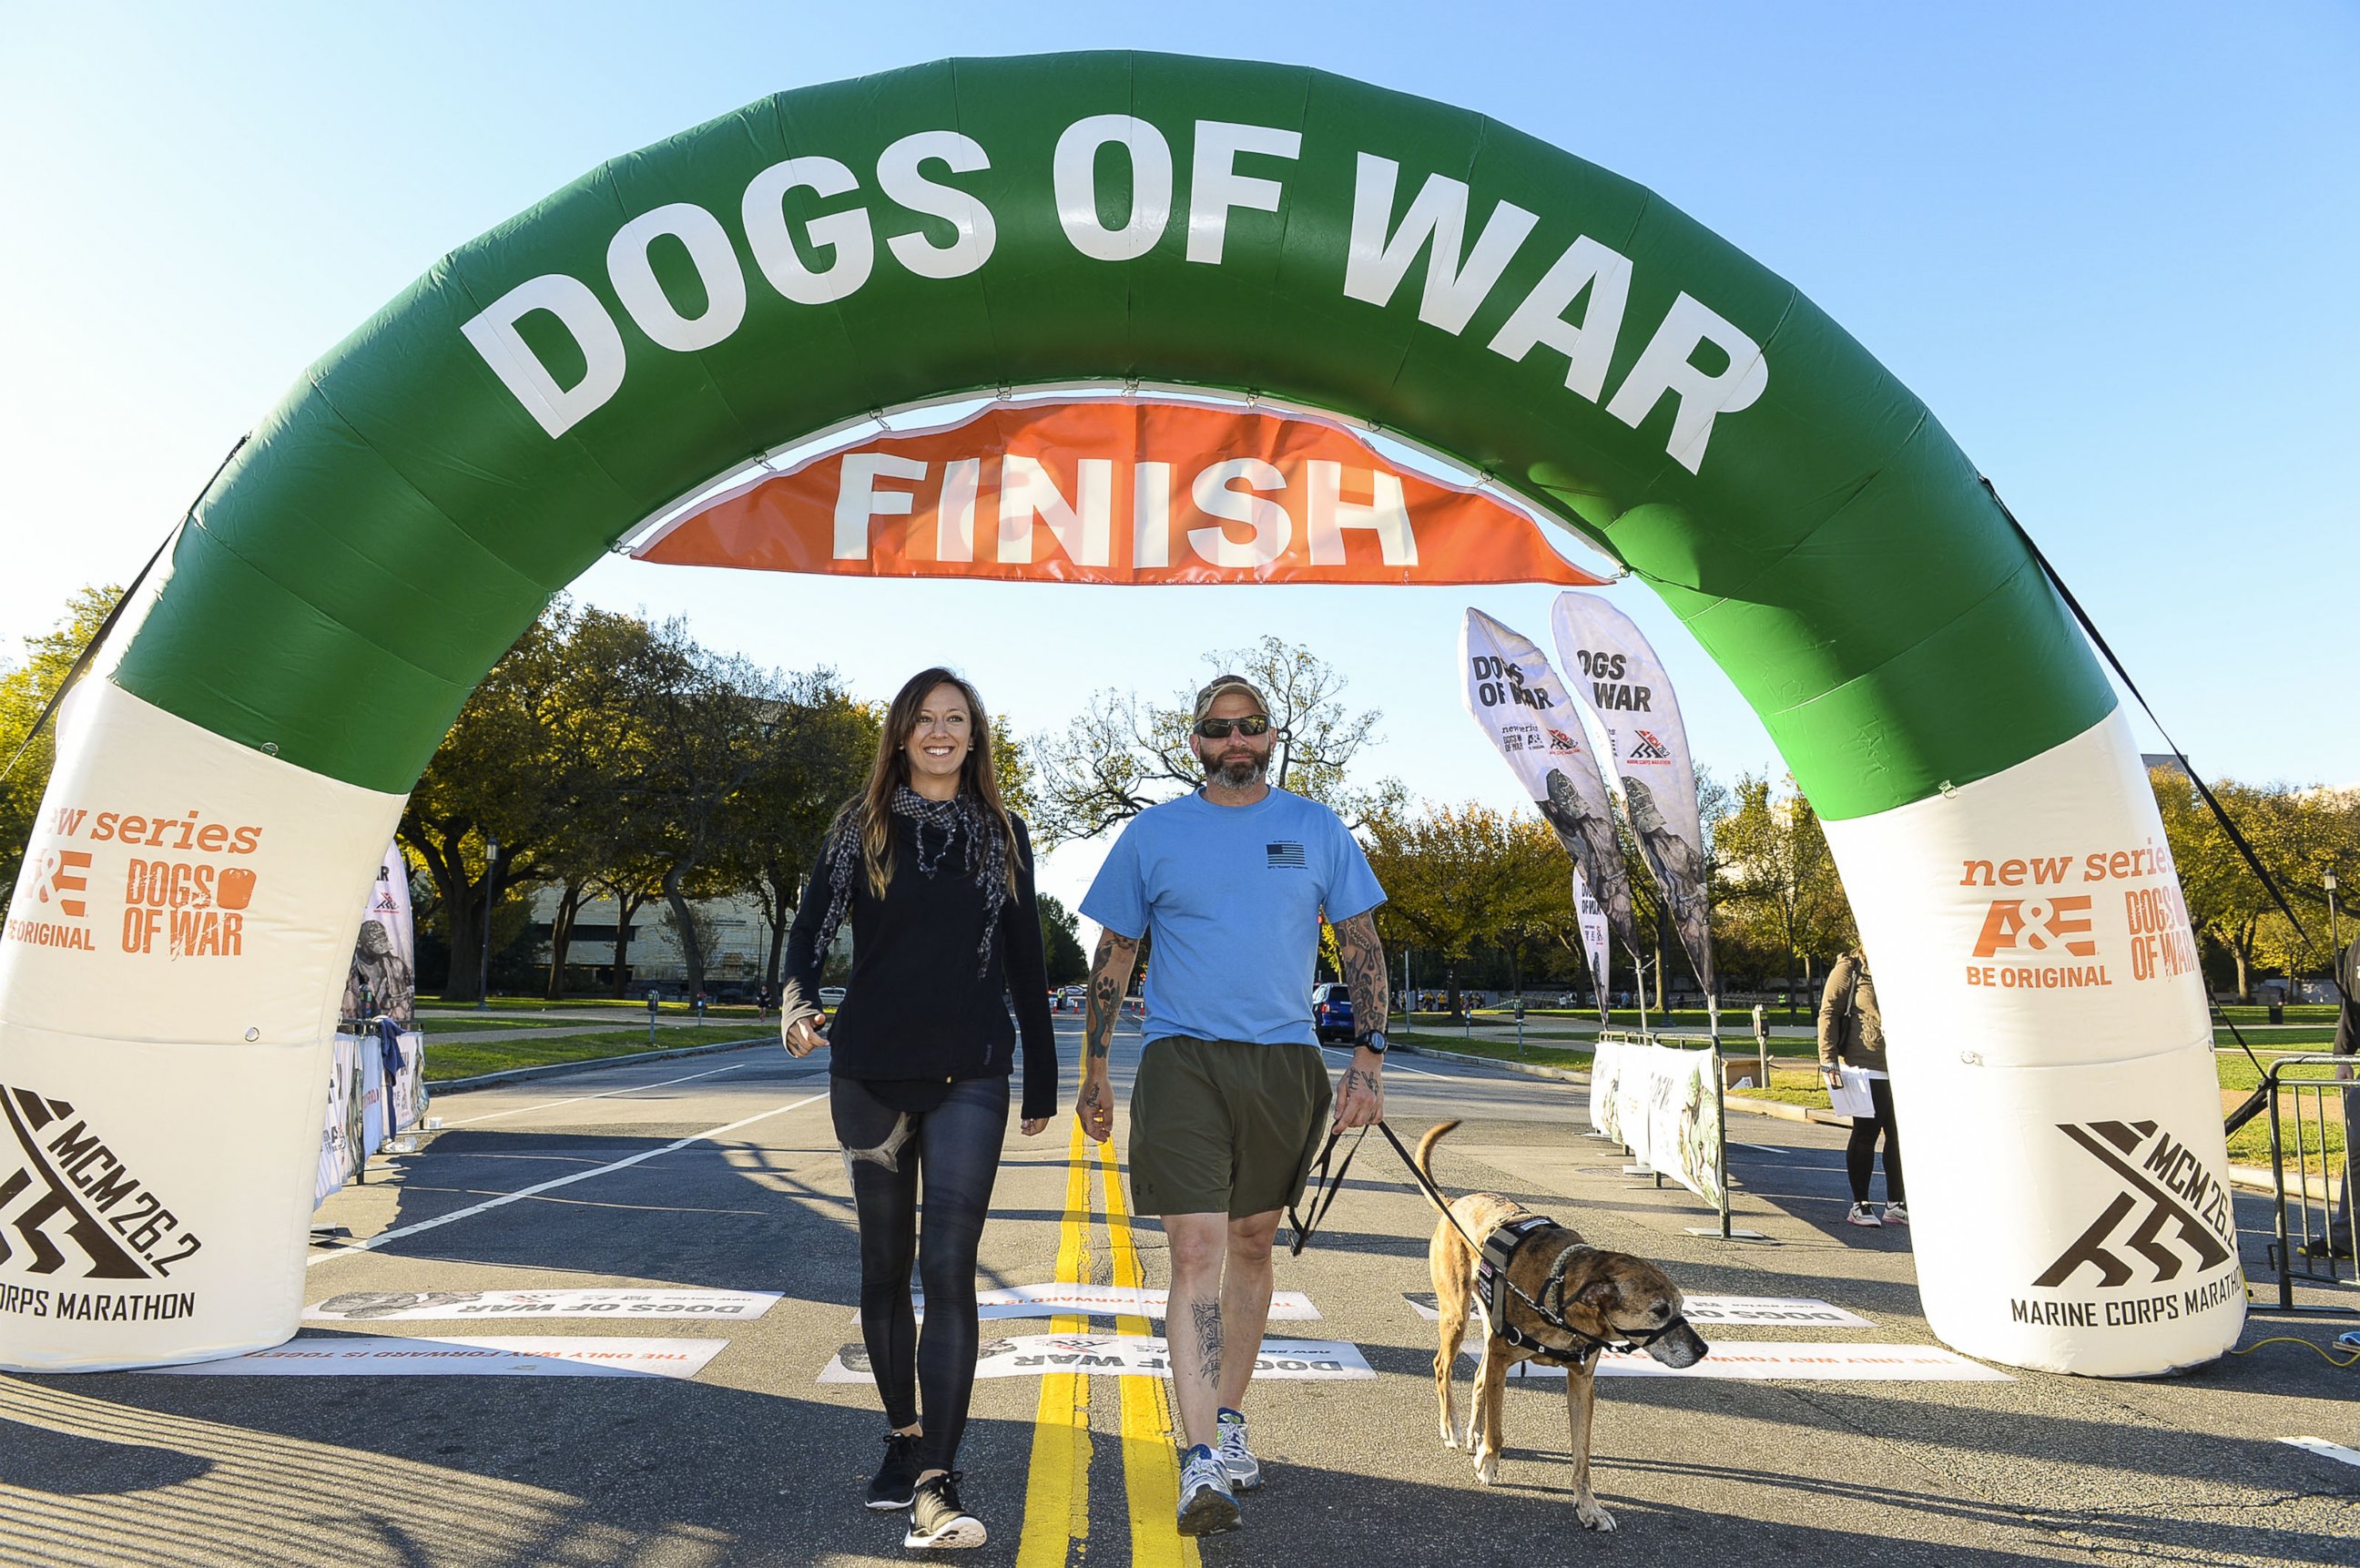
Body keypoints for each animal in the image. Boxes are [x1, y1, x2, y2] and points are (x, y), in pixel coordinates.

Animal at [1406, 1115, 1708, 1530]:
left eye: (1681, 1306)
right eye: (1659, 1310)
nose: (1702, 1350)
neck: (1560, 1294)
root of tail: (1455, 1202)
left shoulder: (1581, 1382)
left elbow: (1582, 1456)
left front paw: (1588, 1505)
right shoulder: (1503, 1358)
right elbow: (1498, 1429)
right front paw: (1489, 1461)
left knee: (1480, 1378)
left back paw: (1471, 1434)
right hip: (1455, 1315)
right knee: (1443, 1367)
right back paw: (1452, 1428)